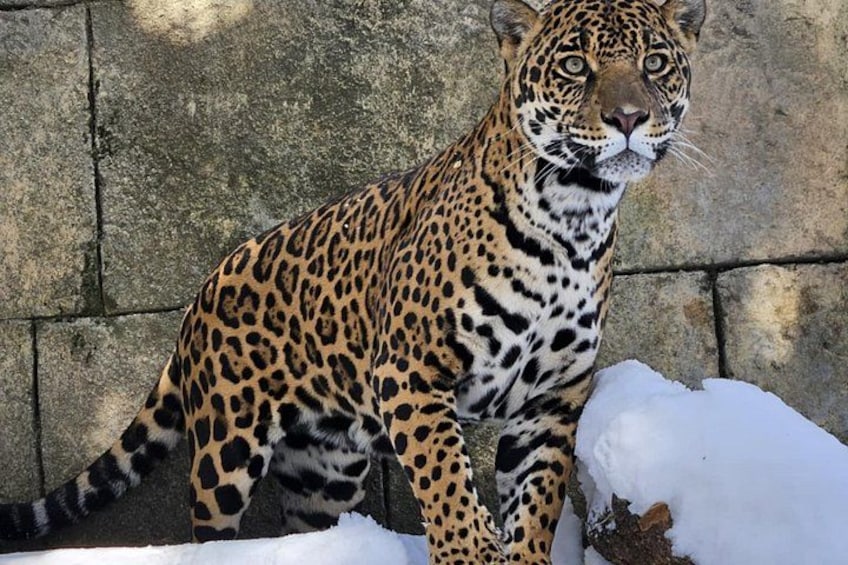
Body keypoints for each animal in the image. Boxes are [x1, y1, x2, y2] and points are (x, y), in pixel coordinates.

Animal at [0, 0, 705, 563]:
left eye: (655, 64)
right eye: (574, 67)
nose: (628, 118)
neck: (575, 214)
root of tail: (198, 299)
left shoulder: (553, 397)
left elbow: (536, 503)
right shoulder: (411, 370)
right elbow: (447, 481)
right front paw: (469, 552)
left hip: (325, 469)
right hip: (226, 451)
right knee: (210, 526)